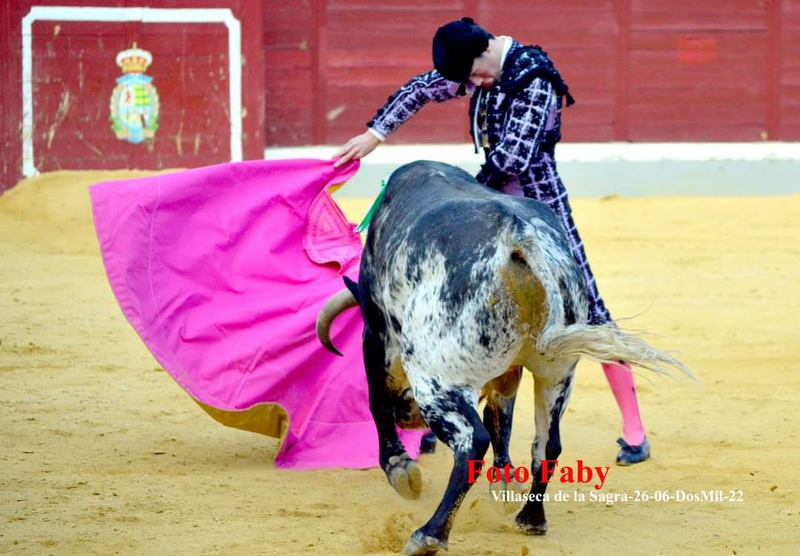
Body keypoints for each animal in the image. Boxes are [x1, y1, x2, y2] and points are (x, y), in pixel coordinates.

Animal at [316, 159, 692, 552]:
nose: (410, 419)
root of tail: (519, 237)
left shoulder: (377, 332)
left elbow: (377, 397)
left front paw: (400, 468)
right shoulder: (508, 375)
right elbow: (503, 419)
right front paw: (505, 482)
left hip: (437, 378)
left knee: (472, 441)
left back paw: (429, 534)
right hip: (556, 375)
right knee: (547, 444)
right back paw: (531, 519)